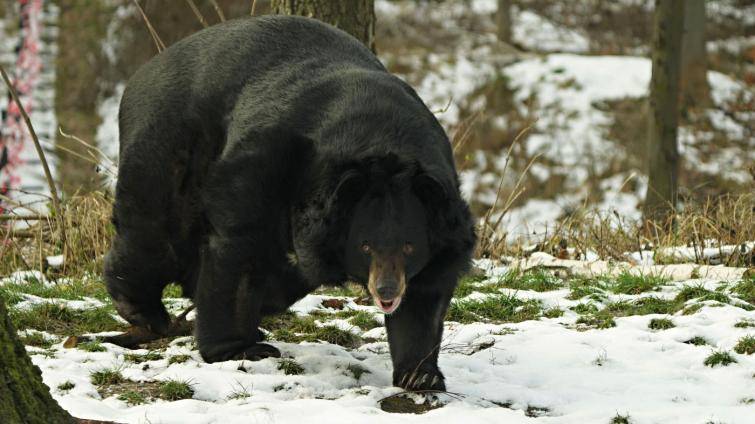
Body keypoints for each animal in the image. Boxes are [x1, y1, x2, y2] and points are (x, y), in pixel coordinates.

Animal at [104, 16, 476, 390]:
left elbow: (424, 299)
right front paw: (237, 348)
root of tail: (142, 74)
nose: (386, 290)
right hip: (169, 147)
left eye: (410, 247)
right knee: (153, 232)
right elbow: (239, 248)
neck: (383, 134)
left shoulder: (442, 226)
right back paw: (143, 310)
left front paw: (420, 375)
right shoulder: (266, 164)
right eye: (365, 246)